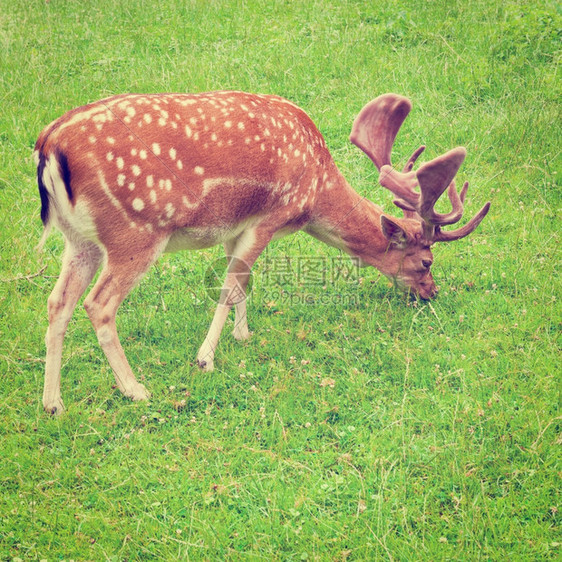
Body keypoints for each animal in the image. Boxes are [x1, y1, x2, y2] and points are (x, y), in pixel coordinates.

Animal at [36, 88, 490, 412]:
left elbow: (242, 282)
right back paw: (135, 389)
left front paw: (242, 334)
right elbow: (231, 284)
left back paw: (53, 403)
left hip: (79, 239)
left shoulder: (237, 226)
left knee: (58, 301)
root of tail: (49, 145)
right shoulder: (270, 216)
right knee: (98, 303)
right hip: (136, 232)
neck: (314, 193)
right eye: (426, 261)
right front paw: (206, 358)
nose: (432, 292)